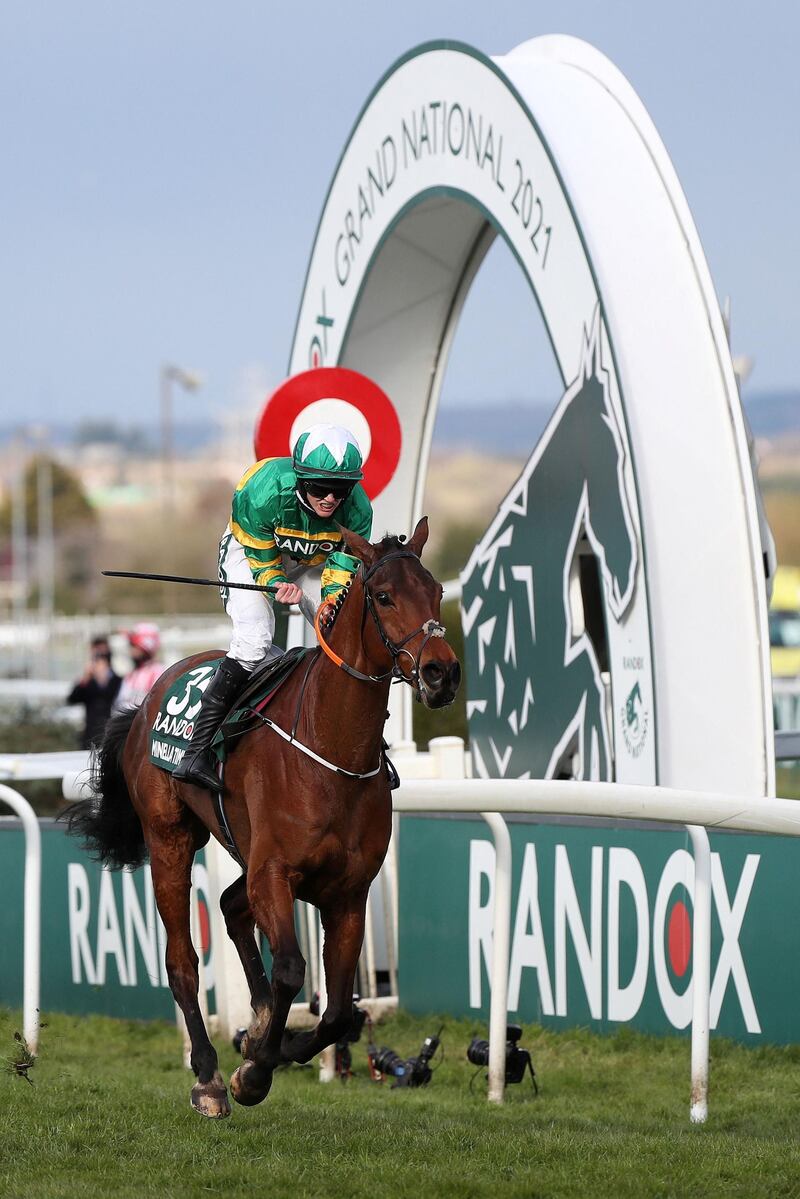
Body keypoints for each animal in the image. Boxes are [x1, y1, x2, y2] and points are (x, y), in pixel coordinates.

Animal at [65, 520, 460, 1117]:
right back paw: (207, 1075)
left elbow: (340, 1011)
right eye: (385, 596)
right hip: (171, 840)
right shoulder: (275, 873)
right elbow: (292, 969)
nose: (442, 673)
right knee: (182, 960)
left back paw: (255, 1027)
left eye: (437, 592)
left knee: (231, 907)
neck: (332, 748)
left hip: (242, 853)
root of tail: (153, 691)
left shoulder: (349, 892)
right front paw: (252, 1073)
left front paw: (271, 1047)